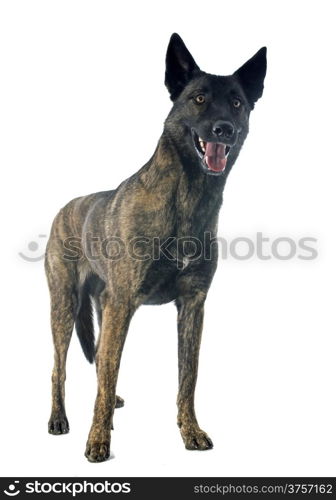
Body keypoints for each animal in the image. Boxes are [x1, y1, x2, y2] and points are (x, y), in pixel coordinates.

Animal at [45, 33, 266, 462]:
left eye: (237, 103)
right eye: (199, 98)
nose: (225, 129)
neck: (188, 196)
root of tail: (64, 208)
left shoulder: (192, 306)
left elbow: (187, 378)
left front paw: (190, 431)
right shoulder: (124, 303)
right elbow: (107, 368)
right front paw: (98, 442)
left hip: (103, 308)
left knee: (101, 365)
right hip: (65, 306)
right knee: (61, 368)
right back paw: (59, 420)